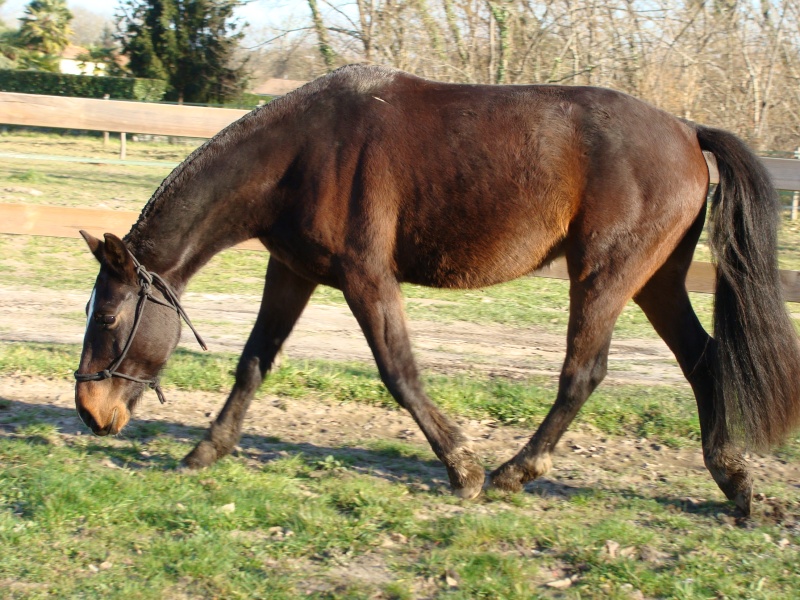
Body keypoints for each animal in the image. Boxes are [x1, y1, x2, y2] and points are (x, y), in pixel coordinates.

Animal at [75, 65, 800, 516]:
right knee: (703, 360)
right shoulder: (293, 271)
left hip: (604, 275)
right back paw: (736, 485)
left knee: (583, 374)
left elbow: (399, 371)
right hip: (657, 281)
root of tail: (687, 130)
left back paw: (513, 472)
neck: (300, 154)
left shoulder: (366, 277)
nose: (90, 411)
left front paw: (464, 469)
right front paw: (206, 450)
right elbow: (254, 361)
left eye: (108, 318)